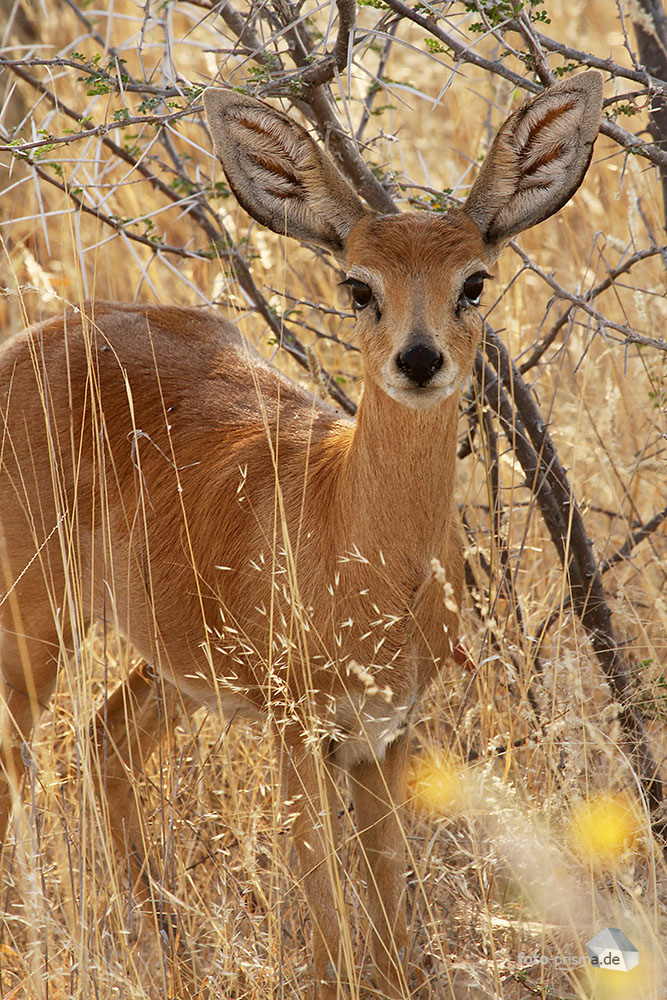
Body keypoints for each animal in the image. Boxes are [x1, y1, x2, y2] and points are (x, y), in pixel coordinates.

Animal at [0, 74, 604, 996]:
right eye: (357, 285)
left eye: (473, 279)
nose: (419, 359)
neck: (363, 548)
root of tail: (34, 337)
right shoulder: (297, 731)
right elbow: (328, 926)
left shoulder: (386, 734)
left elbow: (388, 926)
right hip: (36, 619)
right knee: (22, 760)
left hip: (169, 661)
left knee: (105, 740)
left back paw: (169, 948)